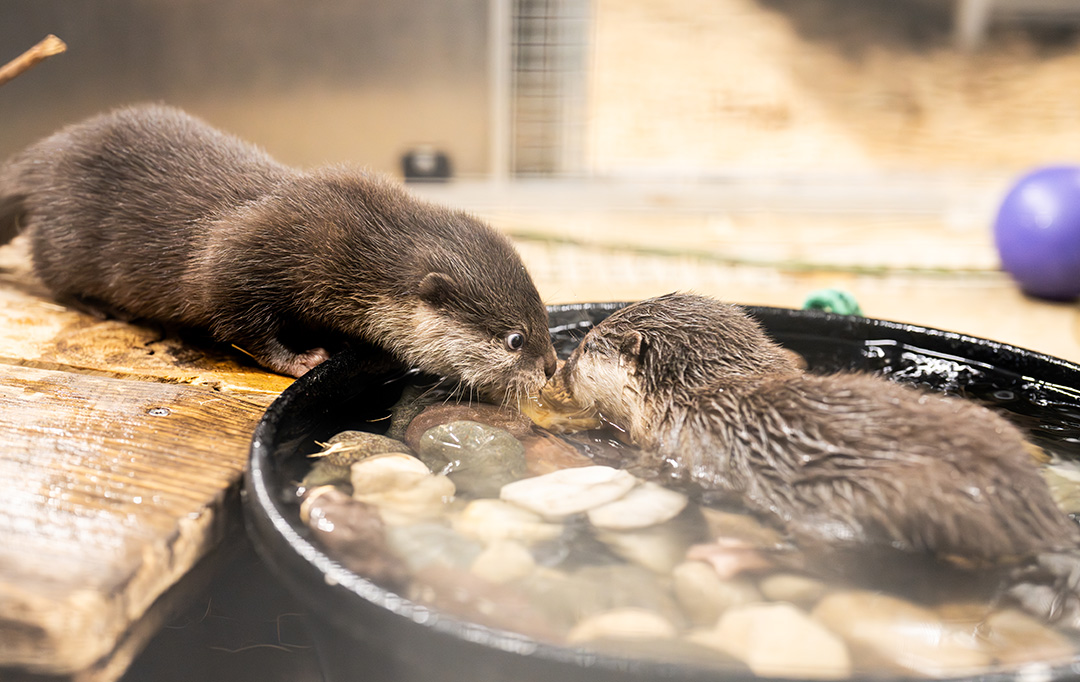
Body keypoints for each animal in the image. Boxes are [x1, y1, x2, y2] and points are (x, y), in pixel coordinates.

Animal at [0, 104, 557, 403]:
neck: (358, 255)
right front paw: (302, 359)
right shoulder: (244, 262)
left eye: (545, 318)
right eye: (515, 339)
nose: (551, 367)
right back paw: (101, 306)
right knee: (50, 272)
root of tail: (43, 157)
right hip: (66, 236)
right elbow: (240, 323)